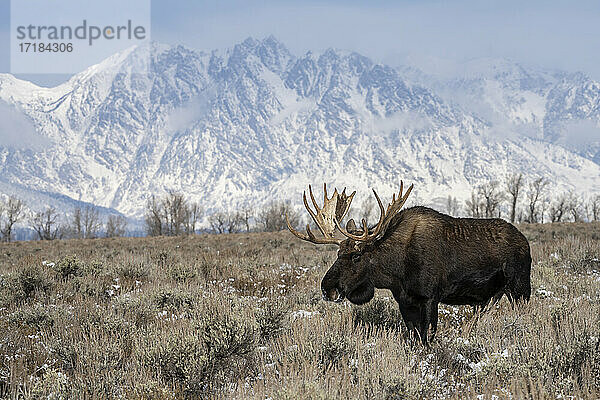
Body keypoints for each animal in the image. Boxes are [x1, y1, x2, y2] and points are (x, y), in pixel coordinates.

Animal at [286, 183, 528, 346]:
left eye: (356, 256)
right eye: (338, 253)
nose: (327, 288)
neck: (396, 271)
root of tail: (524, 241)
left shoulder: (430, 298)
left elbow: (427, 337)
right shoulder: (405, 301)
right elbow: (413, 336)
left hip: (520, 289)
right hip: (491, 297)